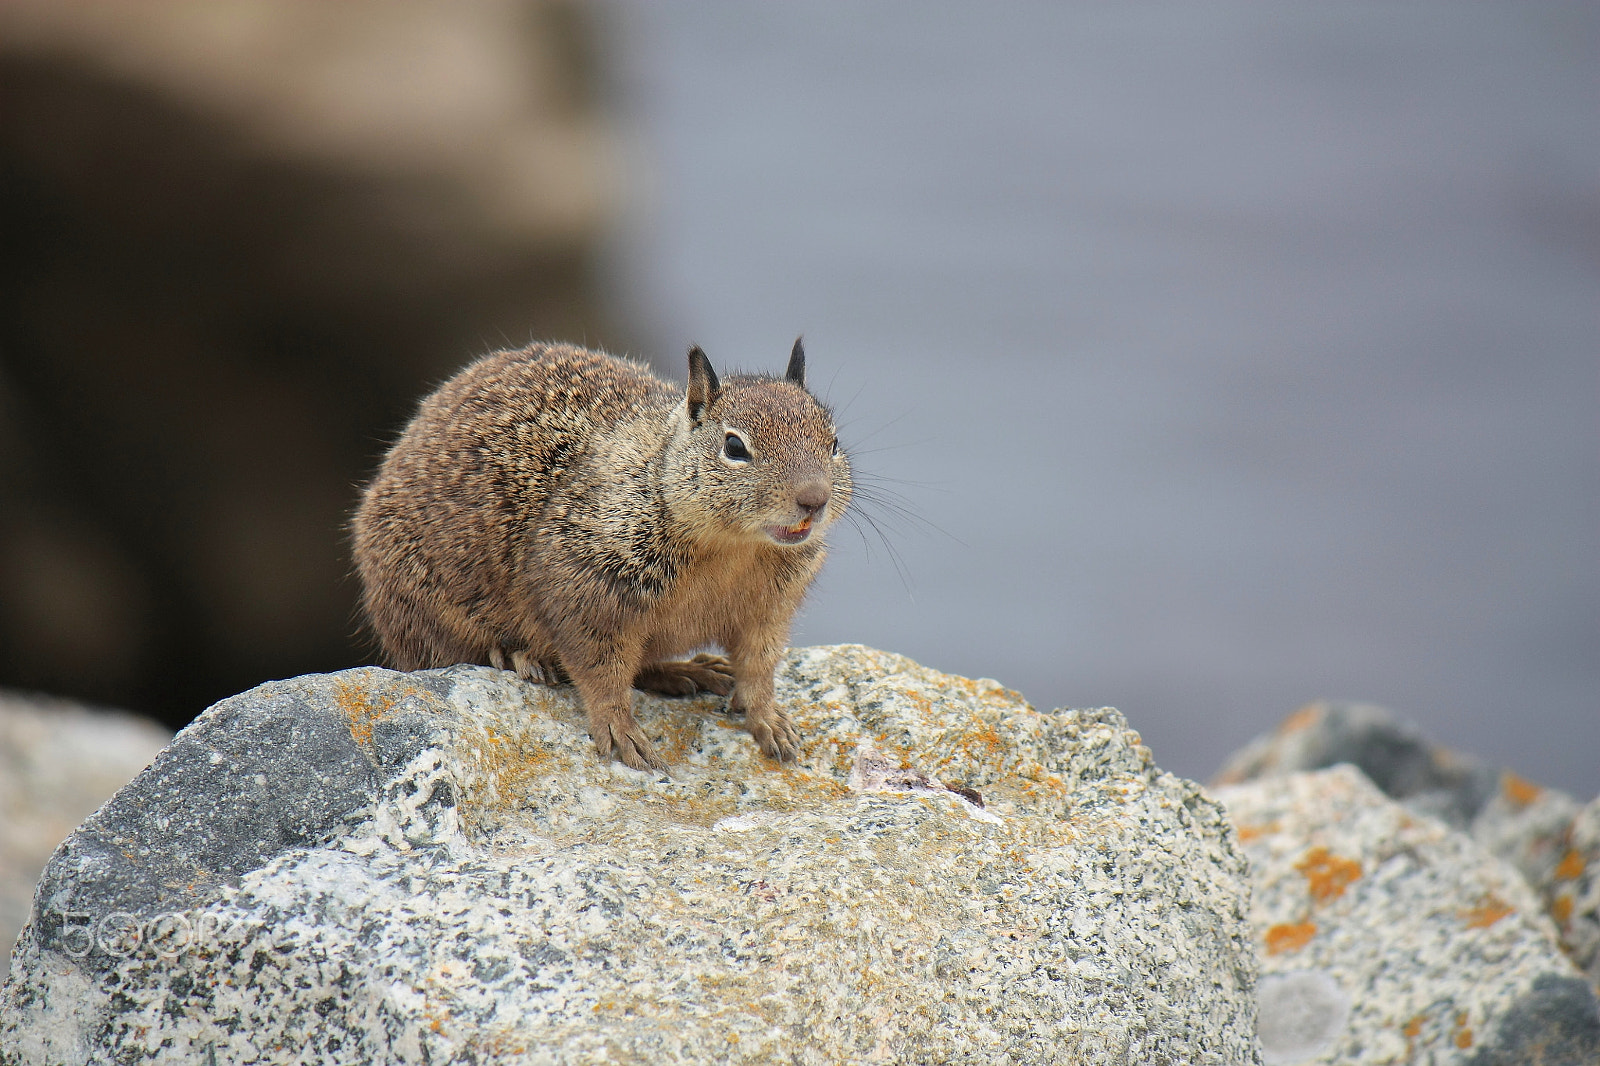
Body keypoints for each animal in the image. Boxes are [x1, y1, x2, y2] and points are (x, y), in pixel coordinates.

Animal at [350, 340, 851, 765]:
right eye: (734, 446)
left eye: (833, 442)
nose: (814, 499)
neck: (733, 549)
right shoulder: (585, 588)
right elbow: (599, 671)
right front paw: (620, 730)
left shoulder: (768, 610)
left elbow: (759, 668)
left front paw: (770, 721)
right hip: (424, 614)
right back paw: (516, 656)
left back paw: (690, 671)